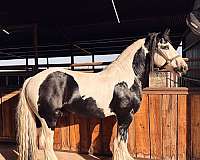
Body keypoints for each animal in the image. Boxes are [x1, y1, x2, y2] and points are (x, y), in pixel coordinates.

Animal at [16, 30, 188, 160]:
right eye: (165, 46)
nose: (183, 66)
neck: (126, 78)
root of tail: (32, 79)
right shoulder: (125, 116)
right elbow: (120, 143)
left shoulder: (120, 118)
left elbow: (120, 142)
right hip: (49, 118)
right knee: (46, 143)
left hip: (41, 120)